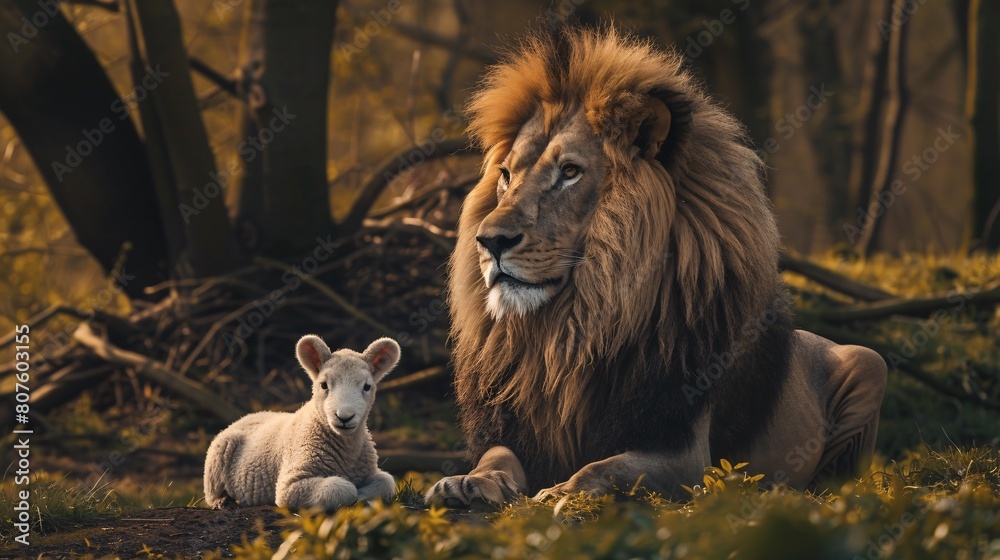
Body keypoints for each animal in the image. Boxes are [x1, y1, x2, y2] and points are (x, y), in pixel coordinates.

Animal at [203, 335, 400, 510]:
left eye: (367, 387)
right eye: (323, 385)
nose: (344, 417)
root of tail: (246, 417)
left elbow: (387, 483)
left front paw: (365, 495)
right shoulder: (289, 486)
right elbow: (344, 489)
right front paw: (355, 494)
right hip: (217, 456)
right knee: (211, 492)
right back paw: (223, 502)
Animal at [425, 26, 887, 506]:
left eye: (570, 172)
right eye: (506, 176)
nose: (490, 241)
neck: (567, 330)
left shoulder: (683, 450)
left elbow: (605, 468)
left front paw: (562, 493)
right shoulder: (511, 428)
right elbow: (496, 458)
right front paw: (464, 482)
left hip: (870, 362)